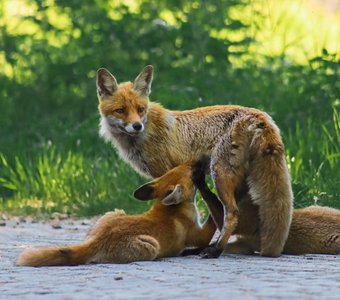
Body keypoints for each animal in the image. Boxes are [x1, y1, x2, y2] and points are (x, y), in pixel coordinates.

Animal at [15, 163, 215, 266]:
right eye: (192, 172)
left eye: (177, 168)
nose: (199, 162)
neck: (171, 209)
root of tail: (97, 240)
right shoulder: (199, 235)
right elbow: (211, 223)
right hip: (151, 246)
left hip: (113, 213)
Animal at [97, 64, 294, 256]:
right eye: (121, 111)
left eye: (140, 109)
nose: (137, 125)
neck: (146, 130)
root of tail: (258, 115)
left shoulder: (163, 170)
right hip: (241, 182)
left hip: (220, 174)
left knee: (232, 213)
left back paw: (216, 250)